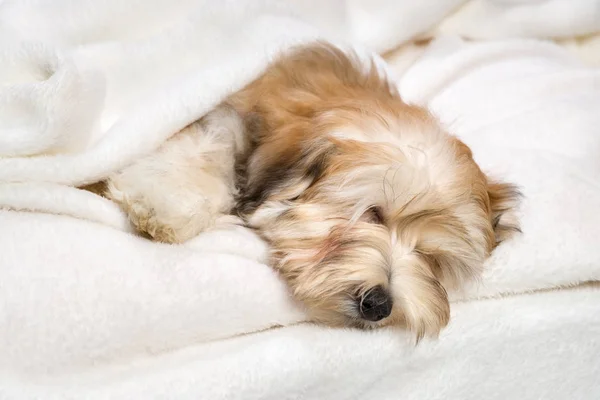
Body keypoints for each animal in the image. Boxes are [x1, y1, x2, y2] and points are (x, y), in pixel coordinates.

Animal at [104, 42, 520, 340]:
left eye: (430, 257)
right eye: (373, 214)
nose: (379, 304)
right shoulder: (229, 116)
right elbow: (207, 148)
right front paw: (163, 201)